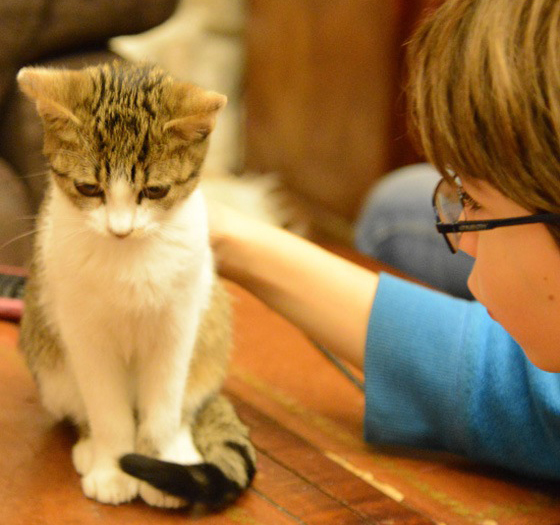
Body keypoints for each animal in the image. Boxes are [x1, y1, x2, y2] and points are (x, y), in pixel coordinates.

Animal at [15, 60, 256, 508]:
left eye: (155, 191)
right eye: (88, 188)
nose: (120, 229)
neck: (128, 259)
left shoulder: (178, 324)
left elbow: (164, 404)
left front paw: (158, 462)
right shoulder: (83, 331)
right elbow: (106, 409)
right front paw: (112, 467)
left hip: (210, 330)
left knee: (184, 404)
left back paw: (180, 452)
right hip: (48, 357)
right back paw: (89, 446)